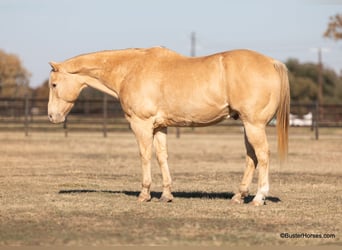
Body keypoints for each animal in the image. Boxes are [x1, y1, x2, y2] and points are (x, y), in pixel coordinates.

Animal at [47, 46, 288, 205]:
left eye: (54, 84)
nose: (52, 116)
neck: (131, 69)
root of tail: (272, 62)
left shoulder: (141, 124)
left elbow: (145, 156)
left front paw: (144, 194)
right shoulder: (159, 127)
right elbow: (162, 157)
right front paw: (166, 194)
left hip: (254, 125)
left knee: (262, 156)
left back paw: (259, 197)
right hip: (247, 126)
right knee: (251, 158)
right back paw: (239, 196)